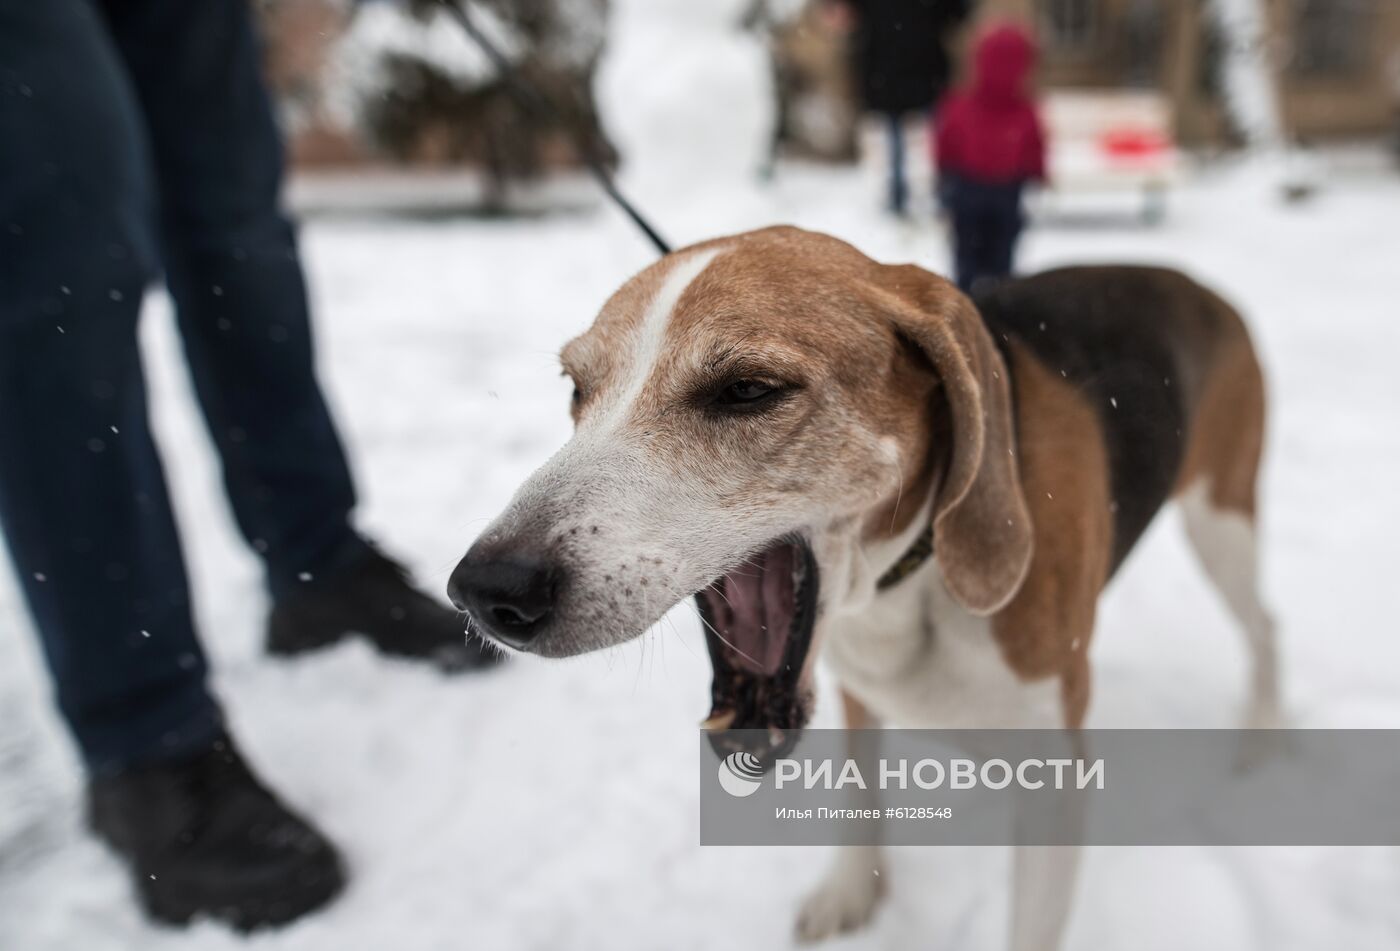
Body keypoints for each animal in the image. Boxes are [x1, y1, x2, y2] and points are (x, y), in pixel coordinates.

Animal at [450, 226, 1282, 946]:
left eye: (747, 389)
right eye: (576, 388)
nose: (485, 589)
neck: (909, 579)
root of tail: (1191, 280)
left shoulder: (1054, 785)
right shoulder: (855, 689)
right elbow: (858, 795)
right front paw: (851, 892)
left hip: (1223, 525)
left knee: (1265, 624)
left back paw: (1260, 734)